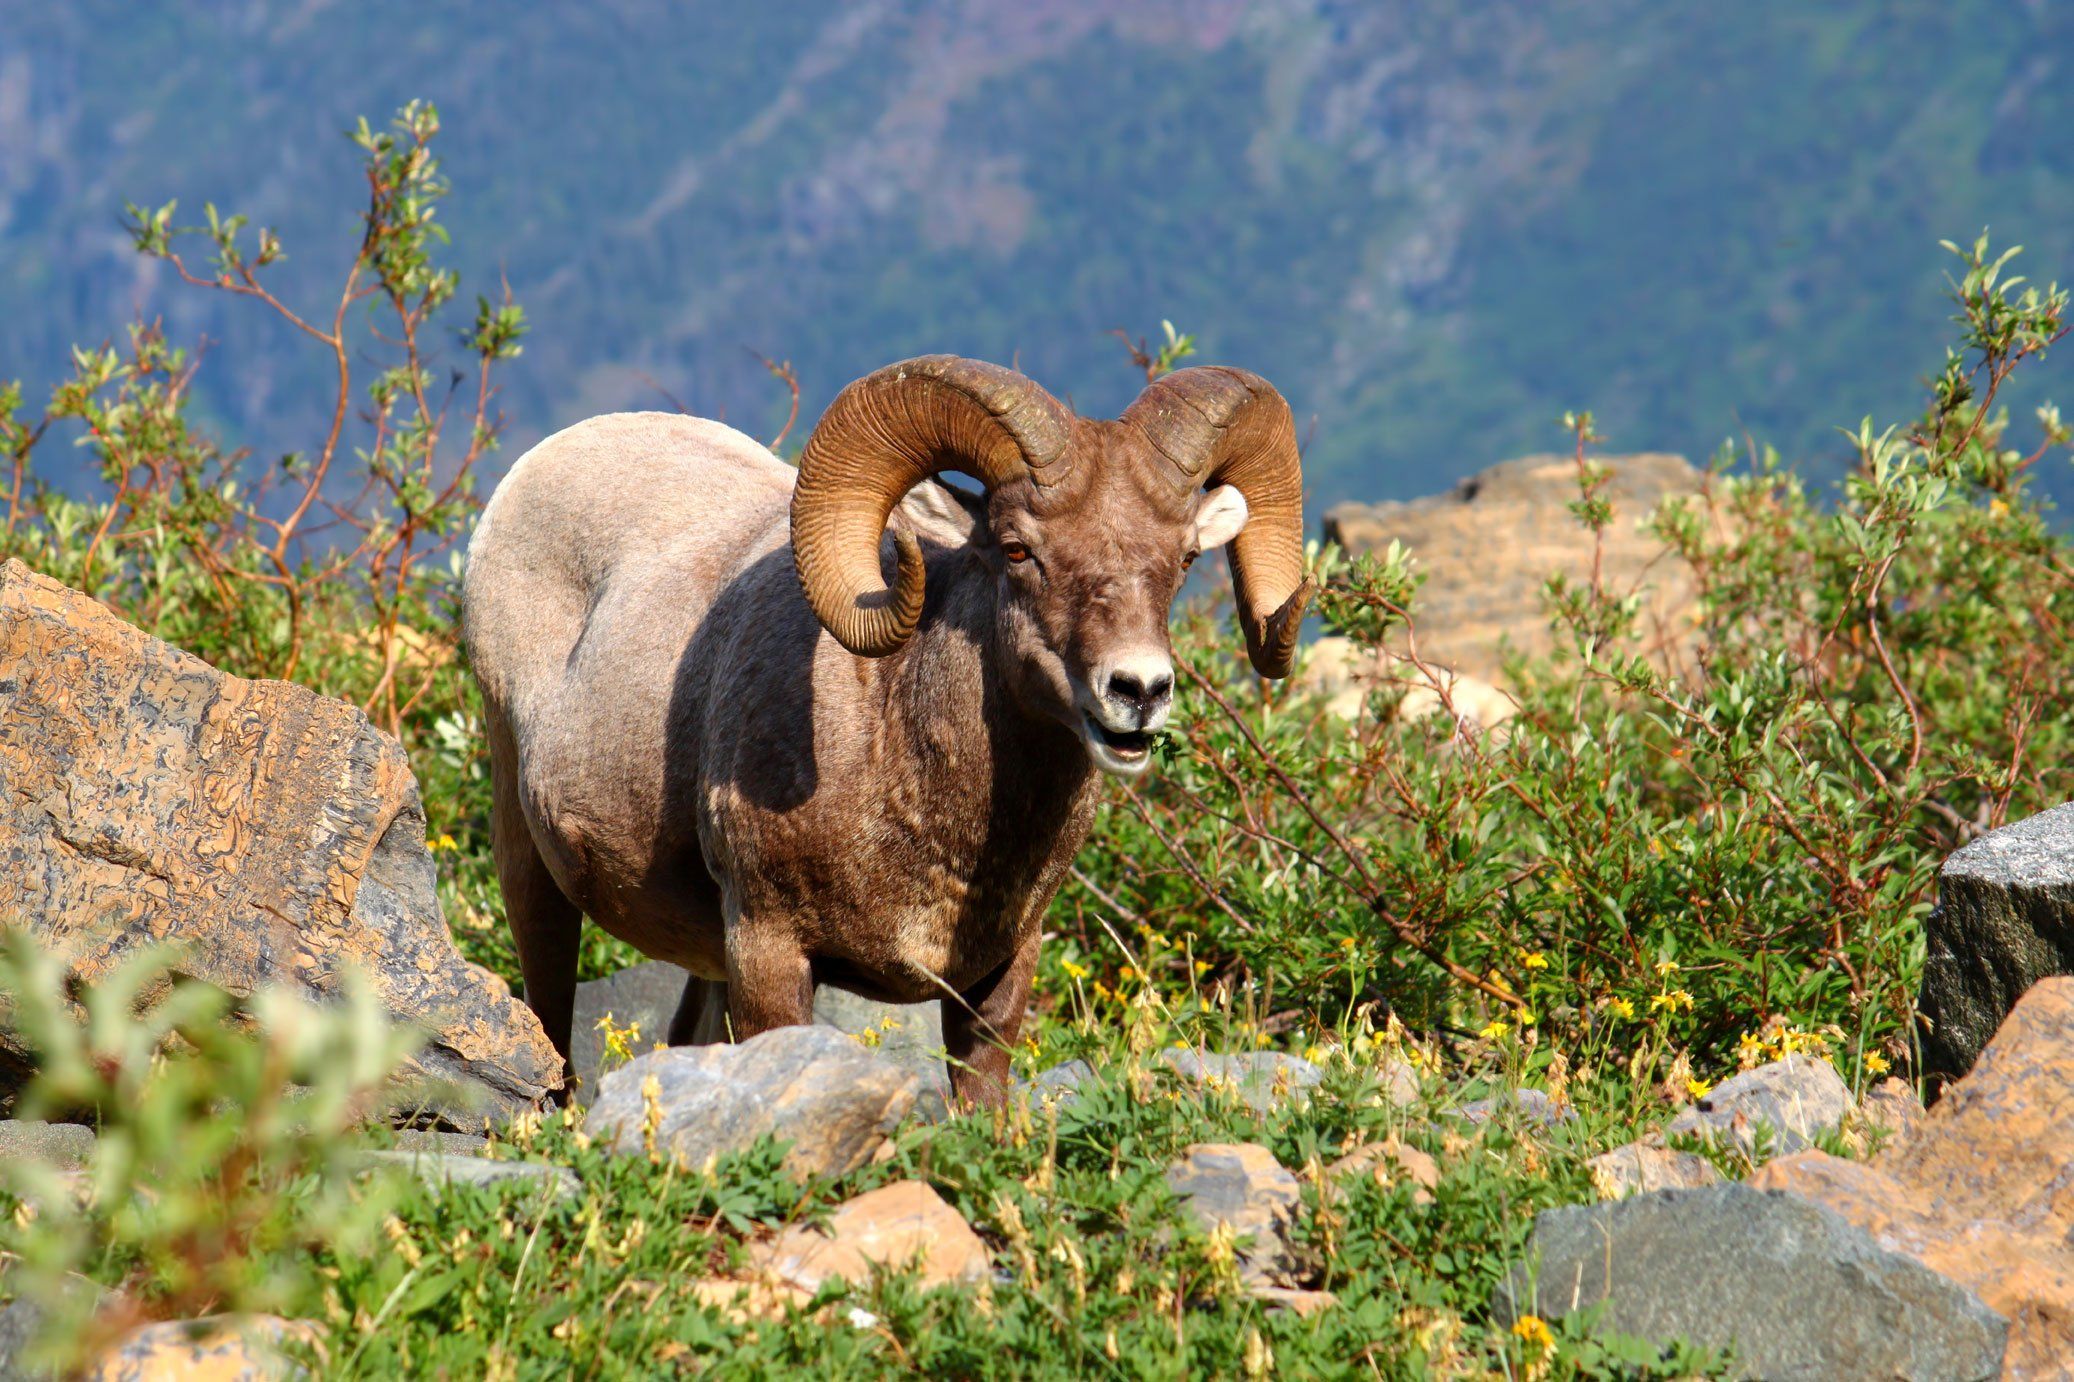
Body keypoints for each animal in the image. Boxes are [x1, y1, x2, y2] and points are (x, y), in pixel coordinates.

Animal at [462, 356, 1312, 1106]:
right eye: (1017, 549)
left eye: (1185, 557)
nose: (1138, 690)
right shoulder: (769, 950)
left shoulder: (999, 977)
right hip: (529, 863)